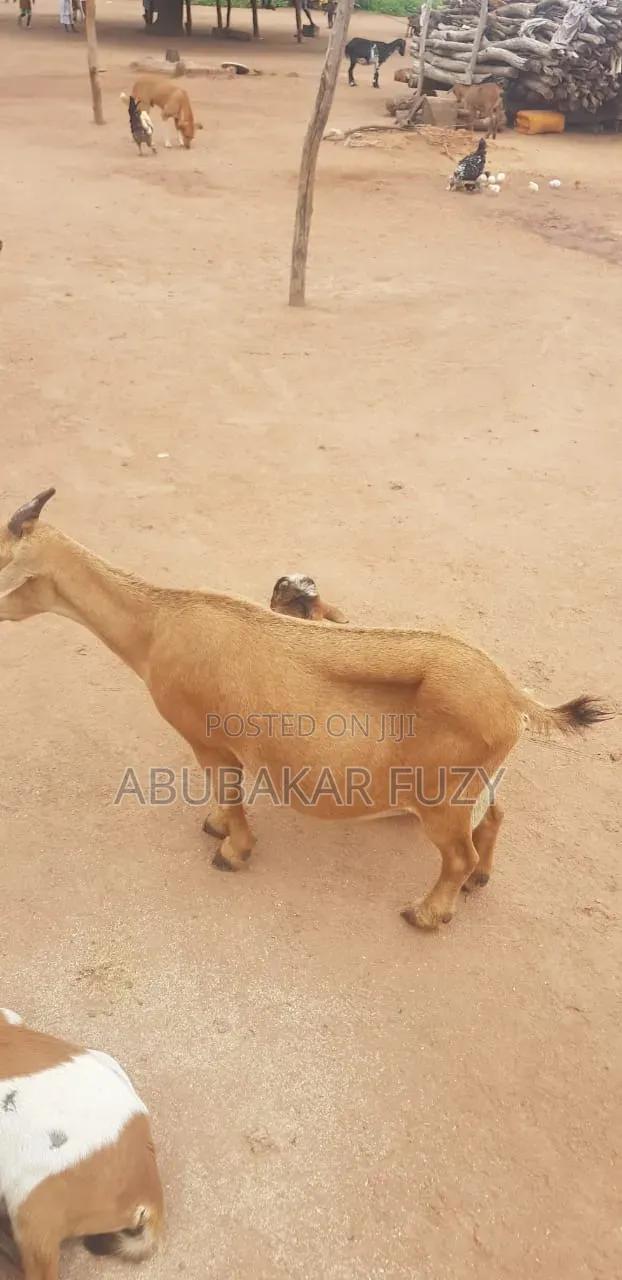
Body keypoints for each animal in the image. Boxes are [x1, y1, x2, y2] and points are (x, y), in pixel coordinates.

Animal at [0, 489, 612, 932]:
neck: (158, 625)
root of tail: (513, 696)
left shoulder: (207, 739)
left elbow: (227, 791)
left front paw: (231, 848)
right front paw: (218, 827)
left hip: (439, 794)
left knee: (456, 853)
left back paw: (426, 913)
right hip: (475, 782)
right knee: (493, 821)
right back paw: (478, 881)